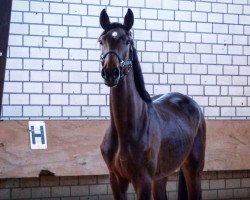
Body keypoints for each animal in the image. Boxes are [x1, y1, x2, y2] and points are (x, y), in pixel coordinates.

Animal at [98, 9, 206, 200]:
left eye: (128, 41)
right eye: (101, 40)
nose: (111, 72)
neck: (126, 129)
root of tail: (194, 106)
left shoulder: (143, 181)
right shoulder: (116, 180)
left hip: (193, 170)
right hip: (161, 176)